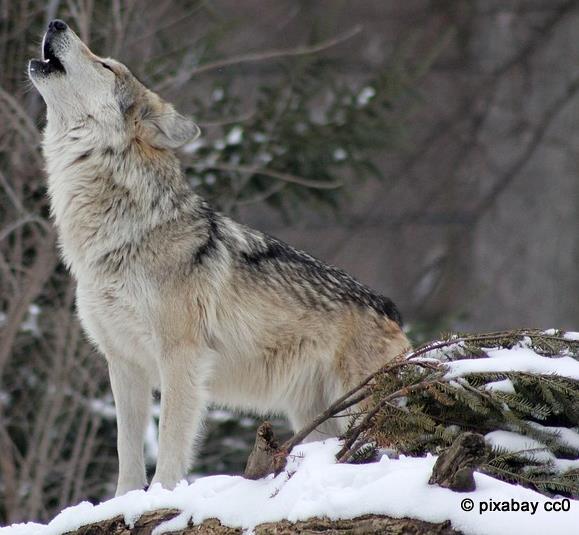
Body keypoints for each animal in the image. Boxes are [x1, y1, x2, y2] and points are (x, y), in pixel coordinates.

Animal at [28, 18, 412, 496]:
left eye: (106, 65)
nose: (56, 21)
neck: (121, 234)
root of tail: (391, 309)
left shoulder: (181, 358)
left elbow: (170, 442)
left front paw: (162, 496)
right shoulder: (124, 363)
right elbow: (127, 453)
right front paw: (124, 502)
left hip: (361, 409)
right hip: (316, 418)